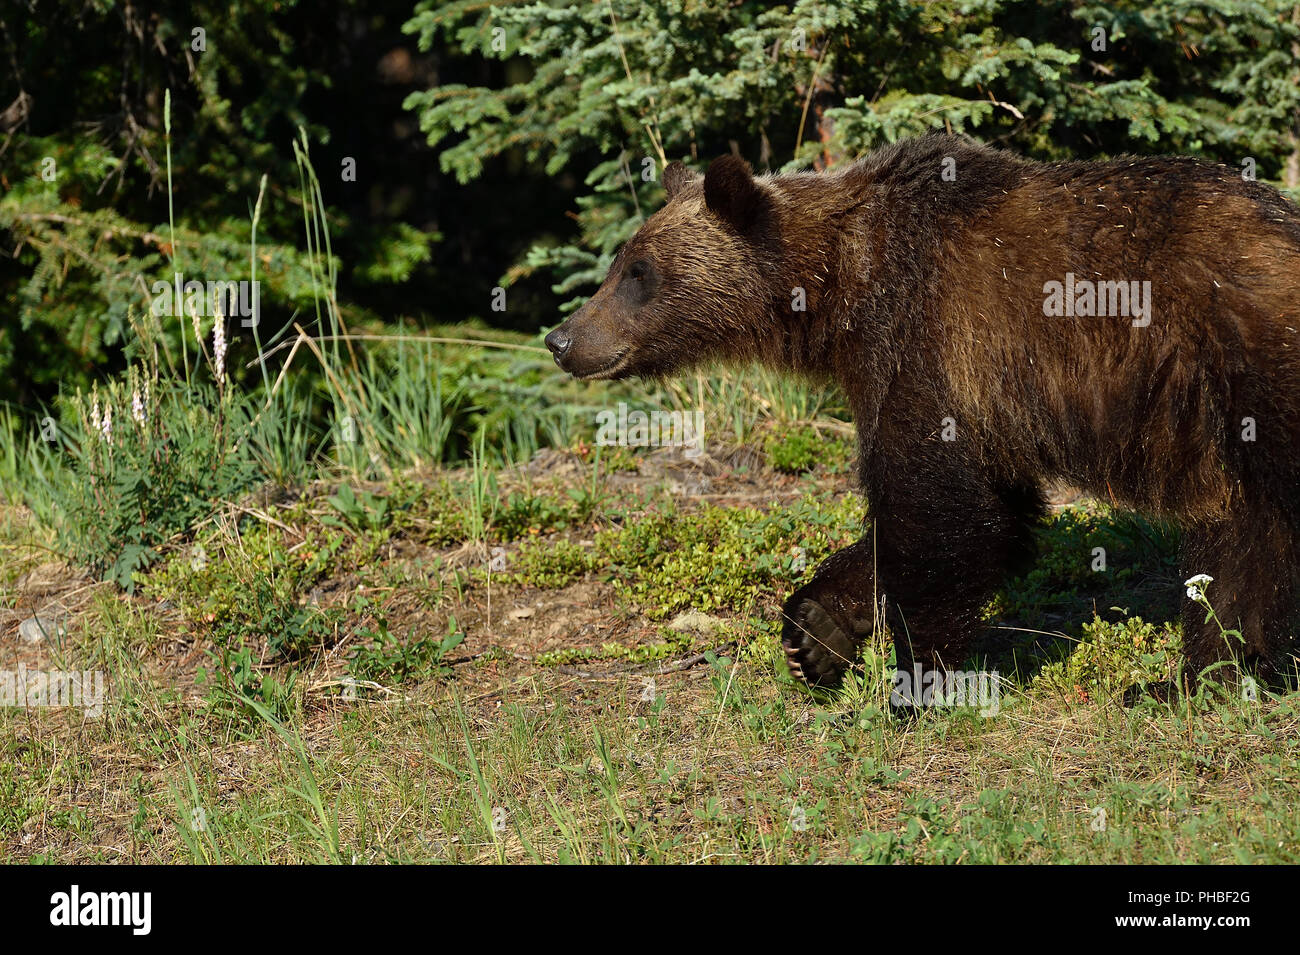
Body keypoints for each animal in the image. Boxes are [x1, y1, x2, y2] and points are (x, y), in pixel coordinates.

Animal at [543, 132, 1300, 696]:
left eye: (638, 272)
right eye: (619, 264)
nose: (562, 338)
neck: (838, 287)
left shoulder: (927, 340)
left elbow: (938, 511)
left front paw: (911, 677)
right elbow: (984, 508)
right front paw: (816, 631)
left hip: (1249, 361)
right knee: (1237, 536)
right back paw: (1200, 676)